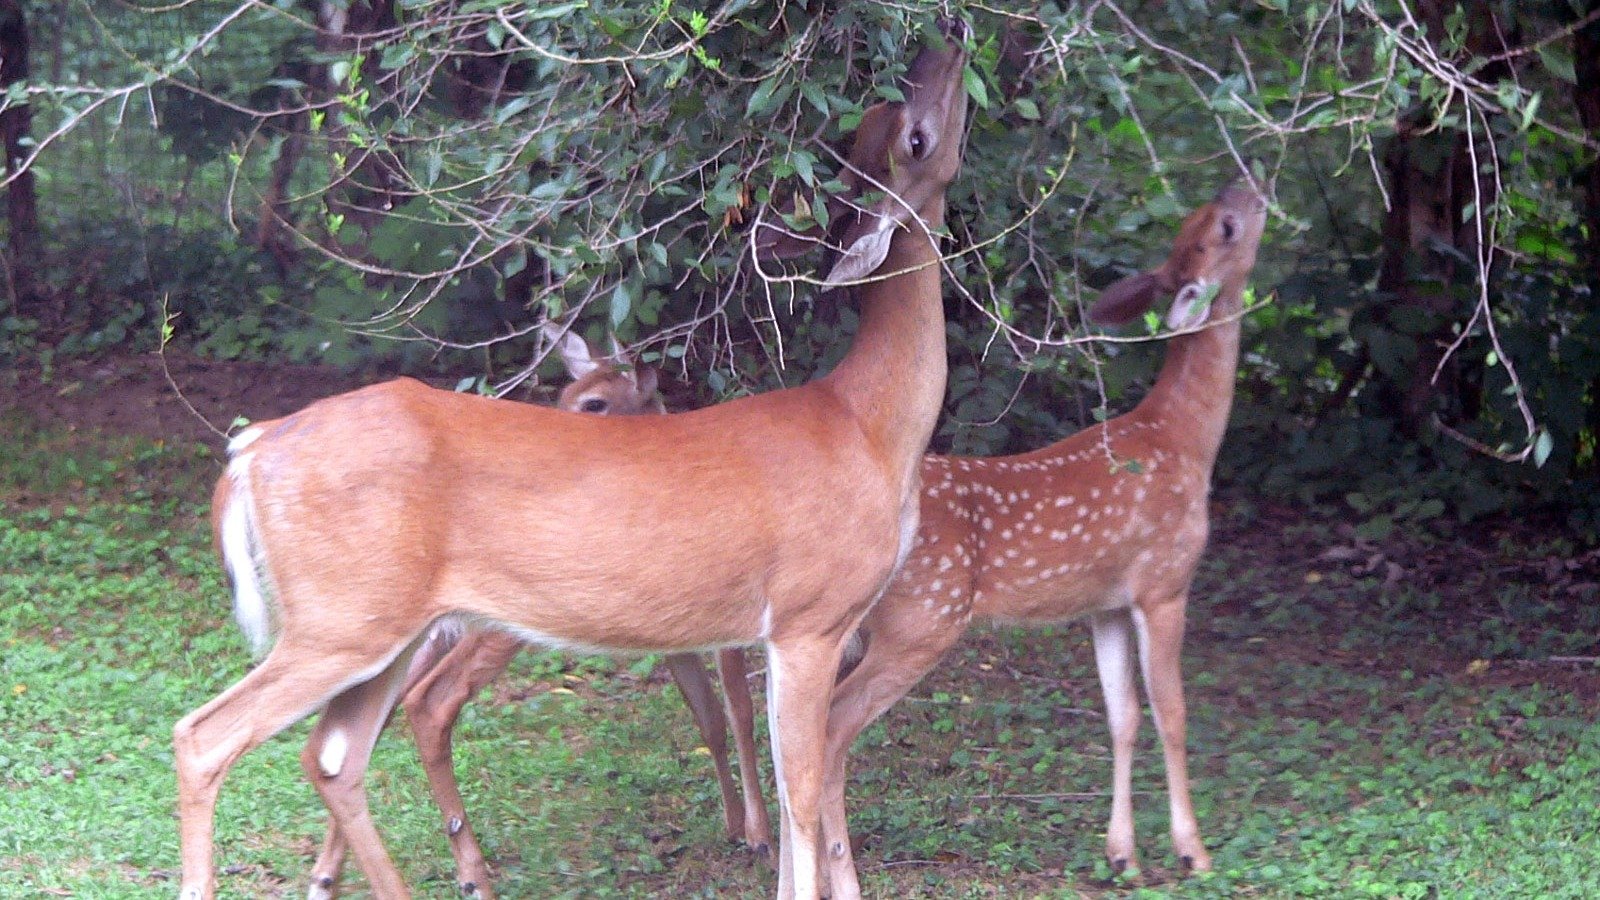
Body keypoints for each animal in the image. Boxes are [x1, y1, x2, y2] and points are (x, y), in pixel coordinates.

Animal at [303, 327, 772, 899]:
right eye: (568, 396)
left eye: (594, 403)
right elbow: (741, 712)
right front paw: (759, 835)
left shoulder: (673, 634)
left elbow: (712, 719)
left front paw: (735, 824)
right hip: (493, 626)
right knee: (427, 702)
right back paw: (468, 874)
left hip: (423, 634)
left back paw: (326, 874)